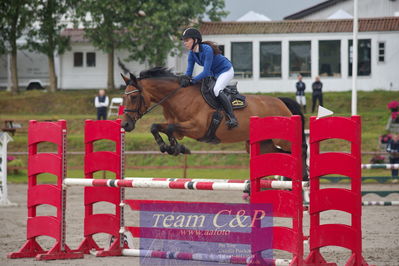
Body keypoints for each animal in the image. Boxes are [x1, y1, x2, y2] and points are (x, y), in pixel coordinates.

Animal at [119, 68, 310, 180]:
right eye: (124, 97)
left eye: (134, 97)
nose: (125, 125)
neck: (178, 97)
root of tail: (281, 102)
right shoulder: (180, 128)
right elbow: (158, 127)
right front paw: (172, 148)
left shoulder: (197, 128)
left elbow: (170, 128)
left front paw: (175, 148)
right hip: (263, 144)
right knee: (281, 154)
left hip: (281, 138)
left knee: (299, 148)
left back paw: (304, 175)